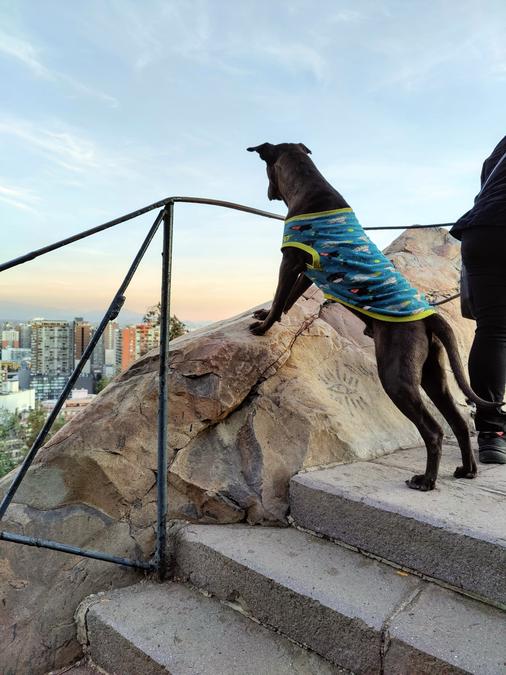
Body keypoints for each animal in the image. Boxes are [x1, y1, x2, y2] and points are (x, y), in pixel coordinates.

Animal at [246, 141, 498, 492]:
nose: (269, 192)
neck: (310, 187)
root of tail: (428, 316)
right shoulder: (308, 271)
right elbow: (287, 299)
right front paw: (268, 314)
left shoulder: (291, 260)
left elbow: (282, 293)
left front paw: (263, 327)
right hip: (432, 375)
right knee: (459, 422)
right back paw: (467, 470)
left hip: (396, 376)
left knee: (433, 430)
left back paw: (426, 480)